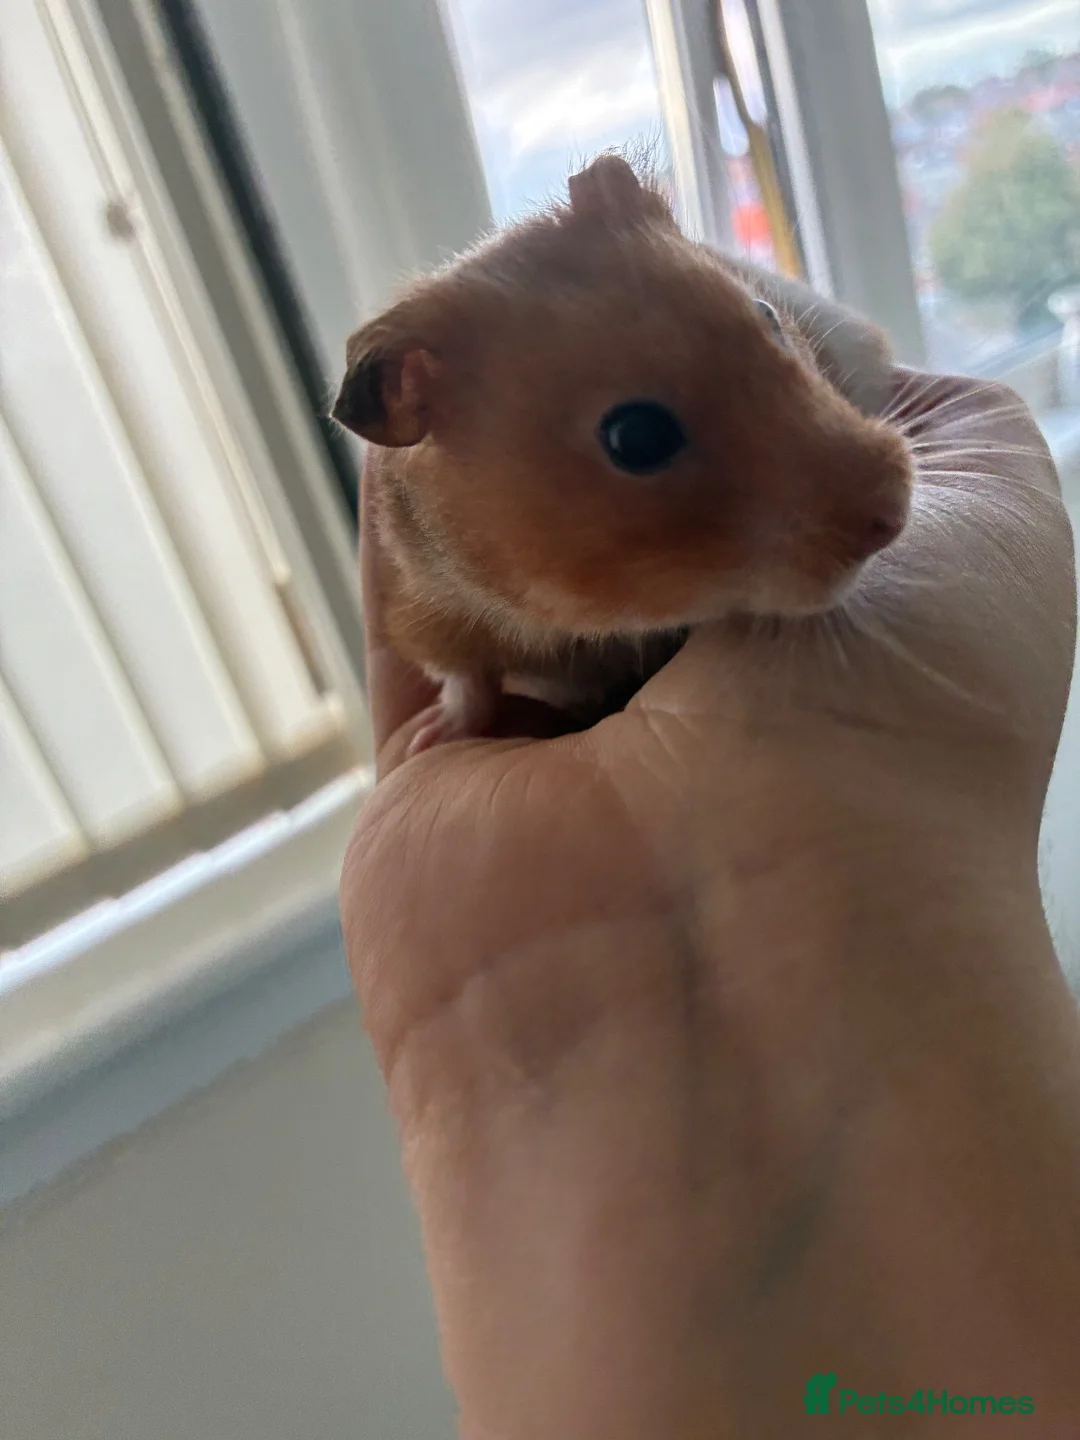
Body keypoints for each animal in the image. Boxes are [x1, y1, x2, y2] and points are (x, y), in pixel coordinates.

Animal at [332, 153, 912, 754]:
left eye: (769, 317)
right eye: (636, 437)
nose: (893, 513)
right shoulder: (430, 610)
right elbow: (466, 681)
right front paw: (431, 735)